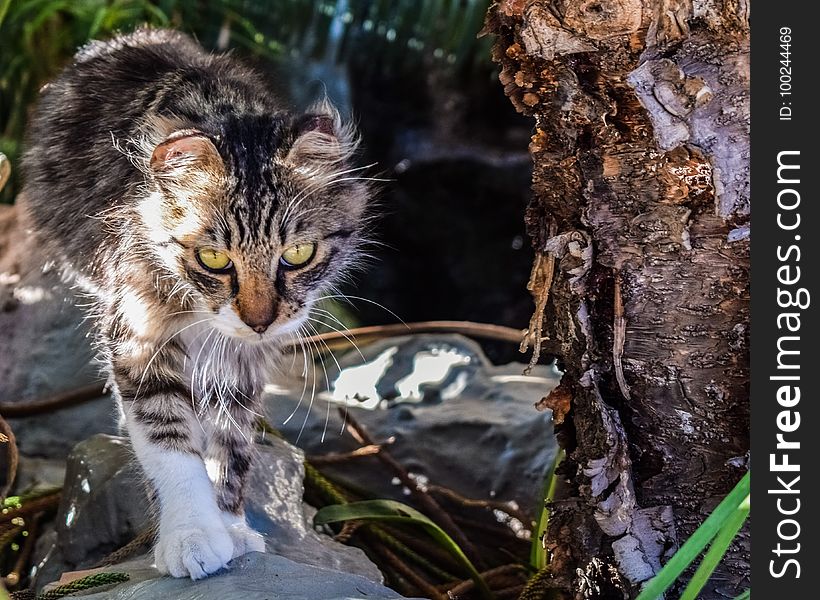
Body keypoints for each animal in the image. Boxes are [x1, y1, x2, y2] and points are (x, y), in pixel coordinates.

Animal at [20, 29, 372, 580]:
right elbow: (169, 444)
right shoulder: (138, 336)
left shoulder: (245, 364)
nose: (259, 320)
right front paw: (192, 536)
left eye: (297, 254)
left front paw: (230, 524)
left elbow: (233, 444)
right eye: (213, 258)